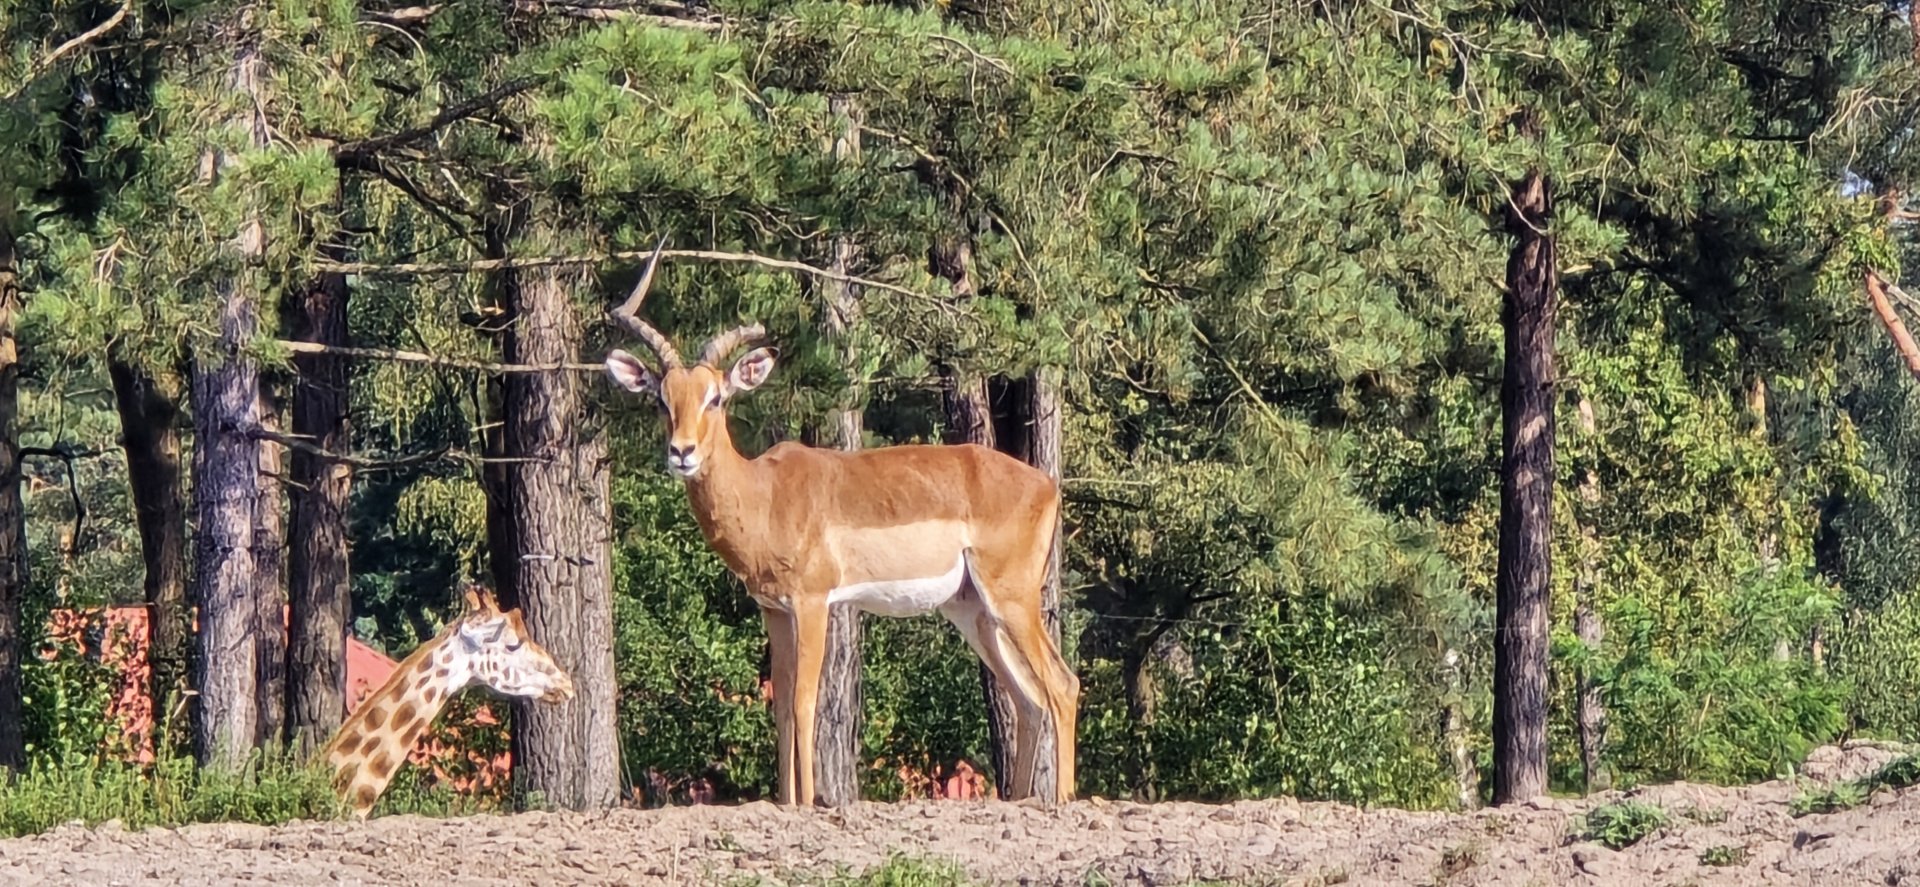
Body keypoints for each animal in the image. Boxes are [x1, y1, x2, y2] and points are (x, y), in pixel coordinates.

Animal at [602, 243, 1079, 807]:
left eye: (714, 397)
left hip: (1012, 599)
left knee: (1062, 686)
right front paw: (786, 801)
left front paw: (809, 802)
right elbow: (781, 710)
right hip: (973, 611)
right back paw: (1021, 800)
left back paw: (1064, 799)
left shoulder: (812, 604)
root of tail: (1046, 484)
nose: (682, 452)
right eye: (661, 398)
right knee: (1028, 700)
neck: (765, 495)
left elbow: (805, 704)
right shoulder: (774, 610)